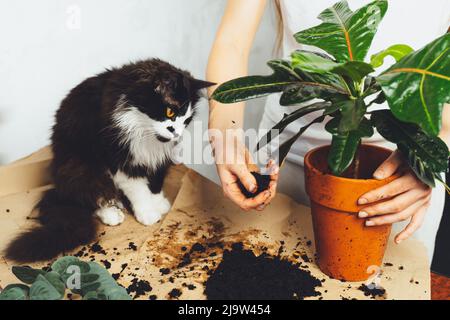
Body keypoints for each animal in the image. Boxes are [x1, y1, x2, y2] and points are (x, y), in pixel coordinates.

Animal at [4, 58, 214, 262]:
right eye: (170, 112)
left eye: (186, 120)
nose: (177, 133)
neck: (144, 131)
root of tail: (59, 189)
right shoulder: (119, 160)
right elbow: (138, 189)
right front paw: (147, 212)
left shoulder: (158, 158)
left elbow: (155, 182)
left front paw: (159, 203)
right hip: (81, 167)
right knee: (92, 196)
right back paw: (111, 213)